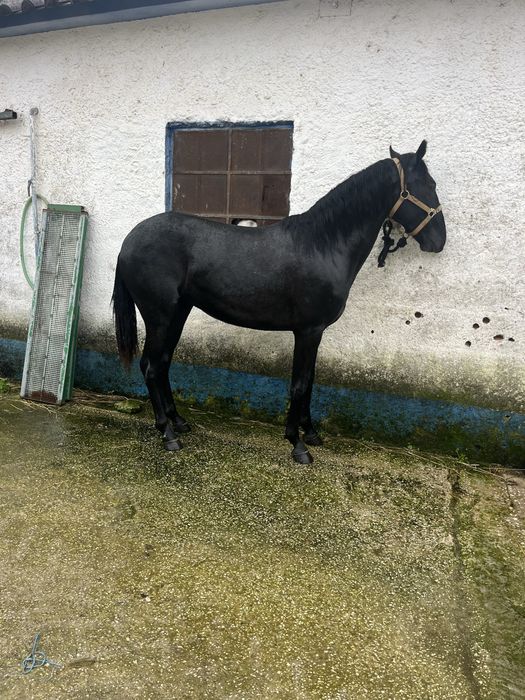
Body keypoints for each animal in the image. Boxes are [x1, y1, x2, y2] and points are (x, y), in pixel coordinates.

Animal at [112, 141, 446, 463]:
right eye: (428, 184)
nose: (439, 241)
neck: (322, 245)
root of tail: (129, 240)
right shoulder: (308, 331)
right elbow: (299, 384)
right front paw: (298, 445)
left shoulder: (316, 333)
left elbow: (310, 381)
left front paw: (311, 434)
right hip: (160, 316)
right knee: (151, 366)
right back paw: (167, 433)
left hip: (178, 312)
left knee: (163, 363)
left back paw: (179, 422)